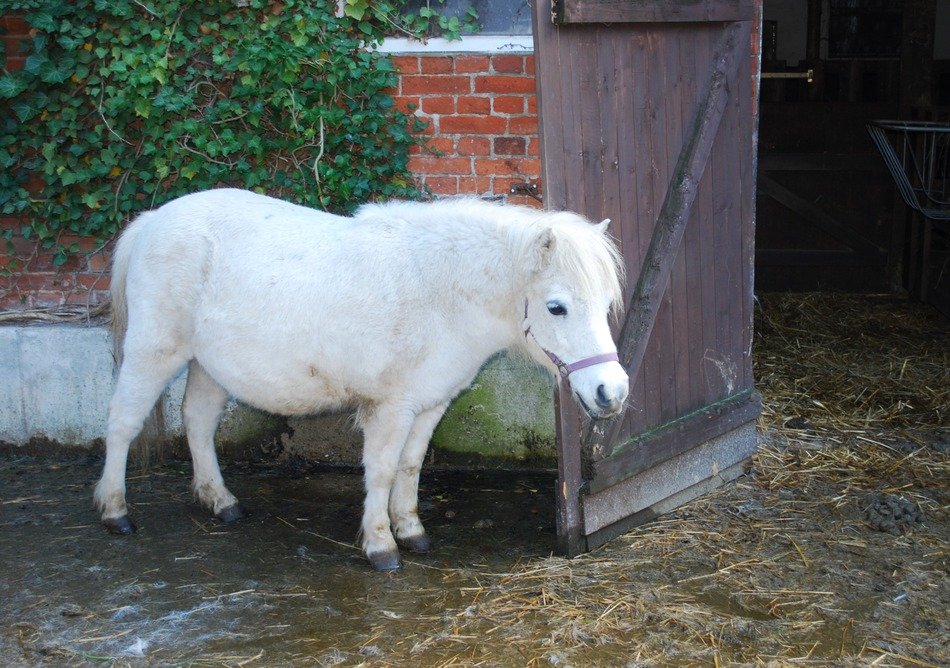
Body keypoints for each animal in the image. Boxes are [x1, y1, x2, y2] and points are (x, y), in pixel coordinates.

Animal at [94, 188, 629, 570]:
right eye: (556, 307)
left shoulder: (429, 404)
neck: (439, 291)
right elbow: (383, 470)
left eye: (605, 304)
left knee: (199, 422)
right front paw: (380, 545)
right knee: (122, 423)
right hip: (154, 352)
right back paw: (116, 512)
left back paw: (220, 501)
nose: (613, 392)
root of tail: (152, 221)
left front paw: (411, 531)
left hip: (210, 365)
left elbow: (410, 468)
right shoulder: (390, 407)